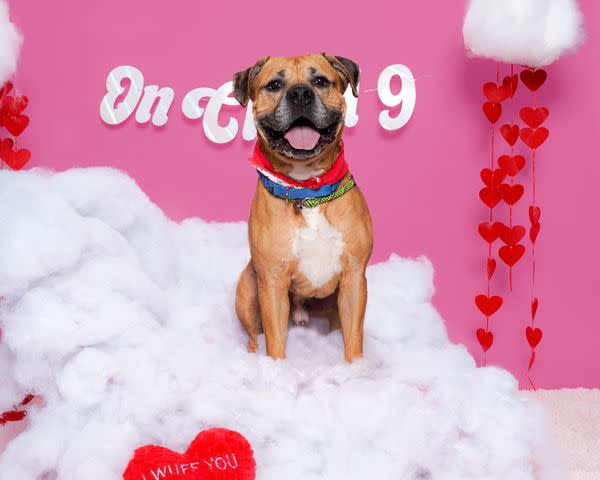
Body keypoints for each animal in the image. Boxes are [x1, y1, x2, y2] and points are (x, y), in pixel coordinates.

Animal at [233, 54, 370, 362]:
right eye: (274, 85)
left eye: (320, 81)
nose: (300, 93)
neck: (307, 189)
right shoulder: (272, 283)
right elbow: (275, 344)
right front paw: (277, 370)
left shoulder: (355, 279)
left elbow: (353, 341)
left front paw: (356, 370)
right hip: (248, 291)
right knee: (254, 336)